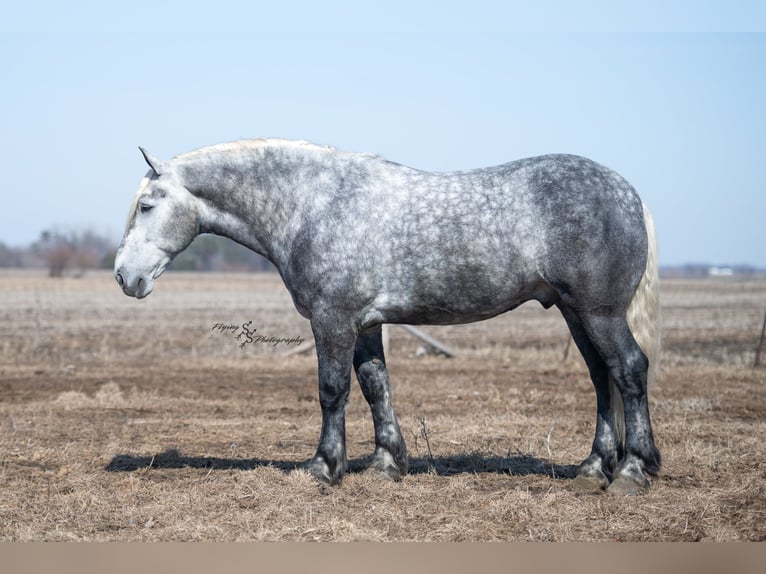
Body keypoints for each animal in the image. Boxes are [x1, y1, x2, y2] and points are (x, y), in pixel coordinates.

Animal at [114, 138, 661, 495]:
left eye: (146, 206)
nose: (124, 276)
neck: (312, 204)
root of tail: (629, 194)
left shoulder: (332, 319)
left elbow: (332, 390)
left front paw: (323, 467)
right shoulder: (366, 324)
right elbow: (376, 384)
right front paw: (386, 463)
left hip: (599, 313)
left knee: (629, 371)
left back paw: (631, 471)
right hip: (576, 314)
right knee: (602, 379)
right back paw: (592, 469)